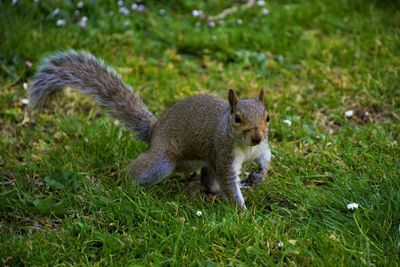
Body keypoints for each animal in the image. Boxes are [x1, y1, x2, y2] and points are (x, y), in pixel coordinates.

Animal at [28, 49, 272, 209]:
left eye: (268, 117)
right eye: (237, 118)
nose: (257, 136)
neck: (246, 146)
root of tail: (154, 130)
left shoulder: (260, 148)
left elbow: (265, 158)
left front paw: (259, 175)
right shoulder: (224, 154)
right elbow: (230, 183)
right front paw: (242, 212)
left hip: (207, 162)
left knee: (210, 184)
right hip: (162, 162)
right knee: (138, 171)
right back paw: (125, 186)